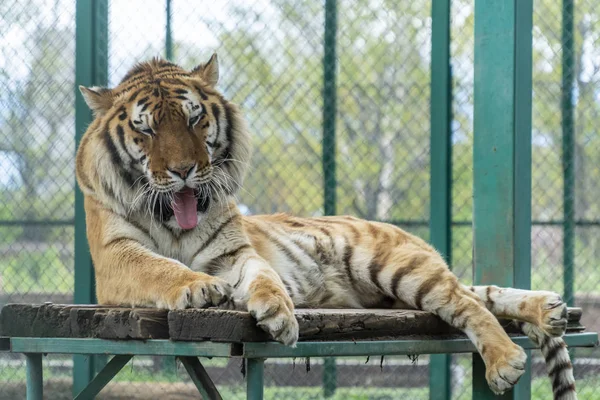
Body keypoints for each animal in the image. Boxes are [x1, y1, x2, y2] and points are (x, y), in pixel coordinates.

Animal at [75, 54, 576, 398]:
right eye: (147, 130)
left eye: (196, 119)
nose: (183, 170)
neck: (172, 219)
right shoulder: (116, 257)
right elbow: (159, 267)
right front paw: (199, 288)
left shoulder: (234, 253)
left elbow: (264, 276)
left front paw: (278, 312)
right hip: (399, 288)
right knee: (475, 292)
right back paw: (548, 311)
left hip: (396, 266)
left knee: (466, 301)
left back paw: (508, 356)